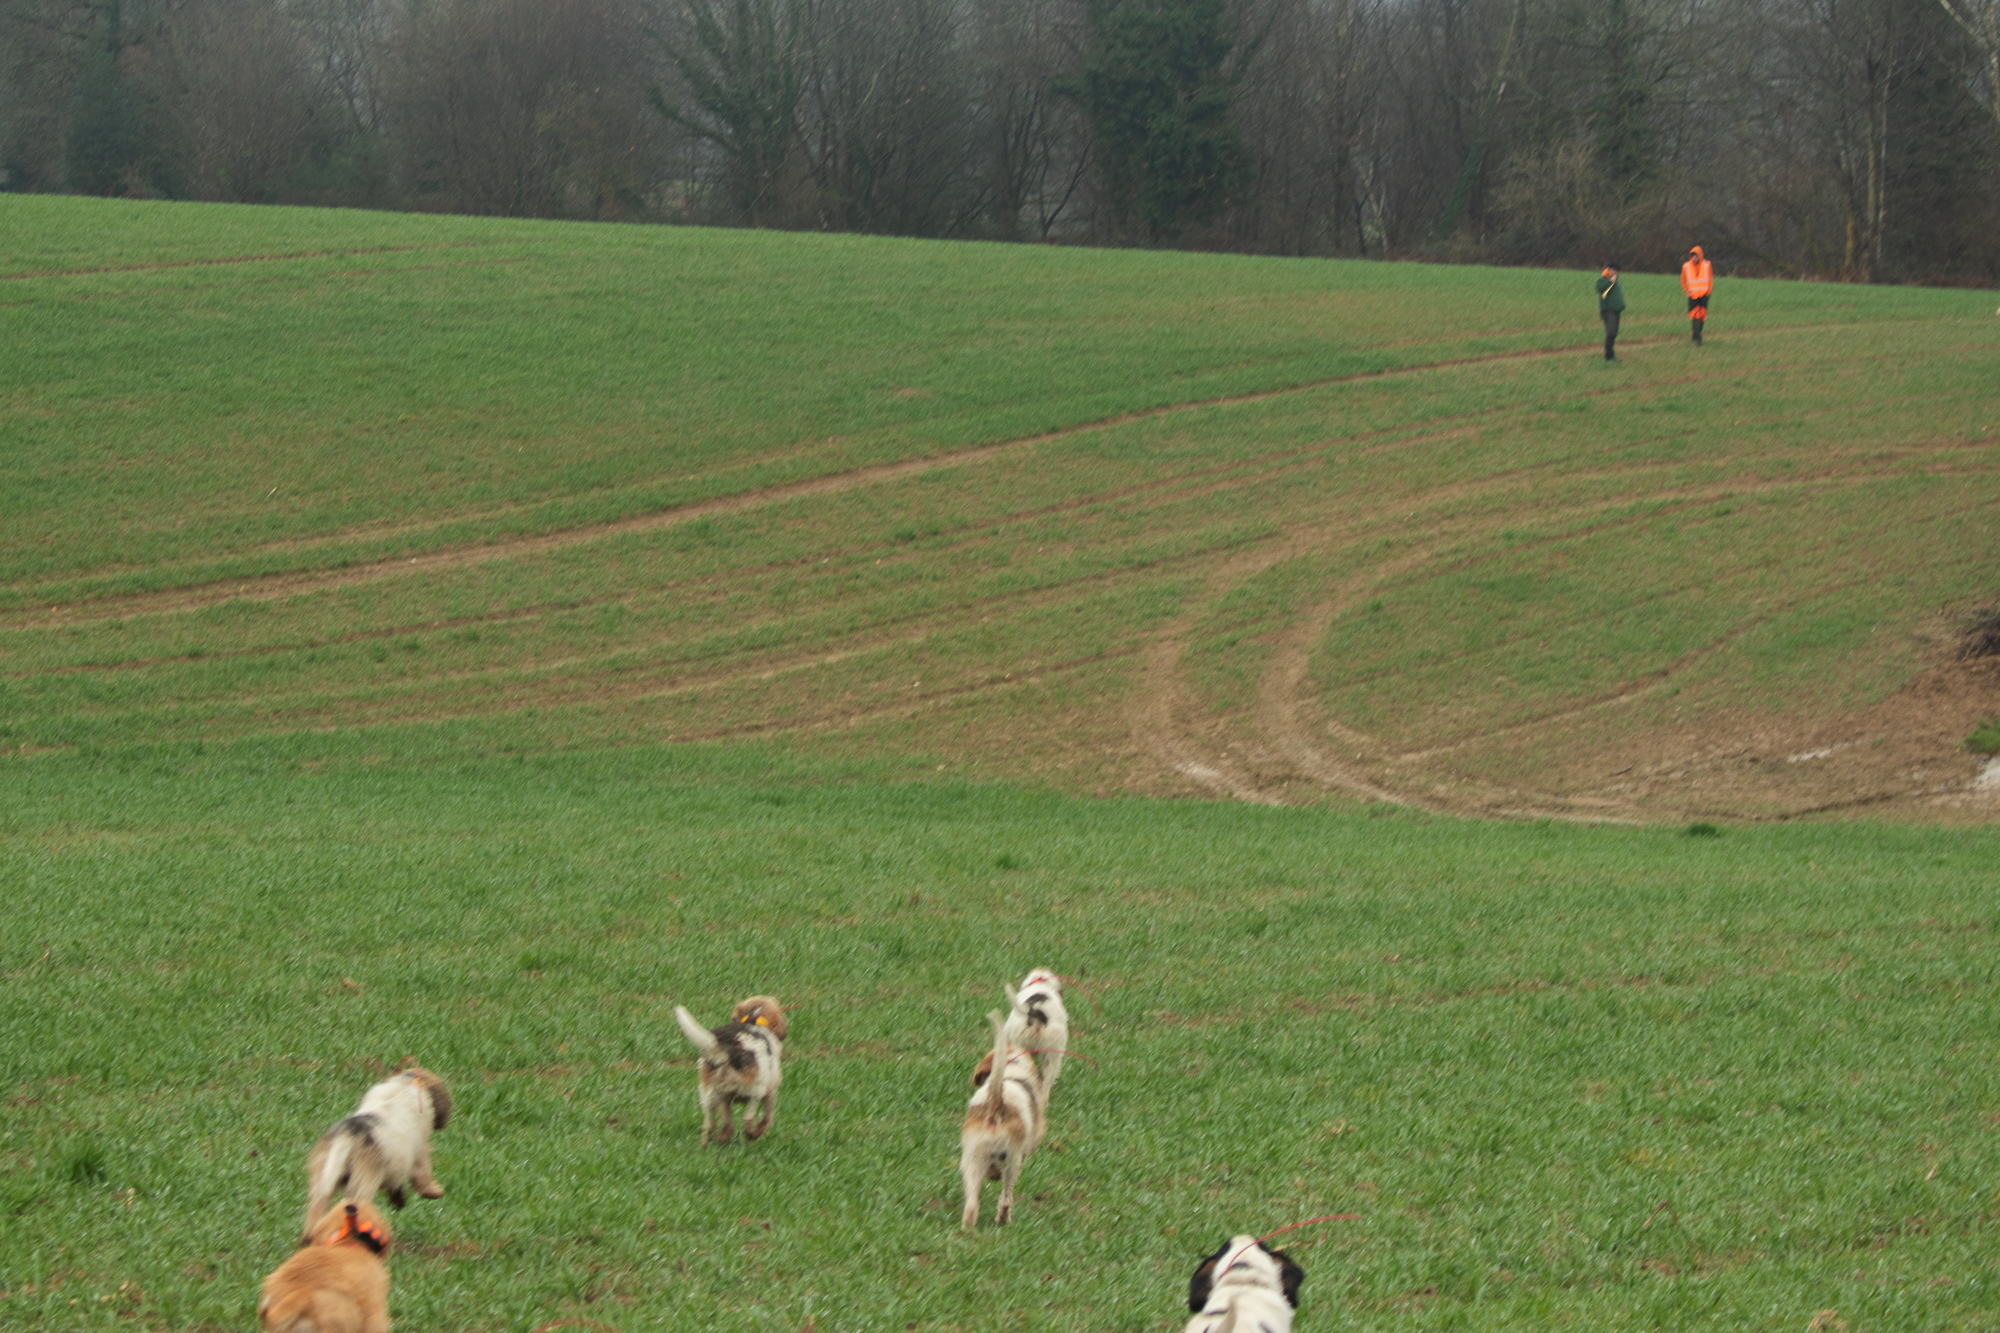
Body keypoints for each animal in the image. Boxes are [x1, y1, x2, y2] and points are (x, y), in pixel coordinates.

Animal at [302, 1066, 450, 1242]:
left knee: (317, 1208)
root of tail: (347, 1134)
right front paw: (436, 1191)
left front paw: (398, 1200)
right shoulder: (420, 1148)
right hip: (363, 1178)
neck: (406, 1083)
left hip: (321, 1172)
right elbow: (422, 1172)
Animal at [673, 995, 787, 1146]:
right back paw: (752, 1134)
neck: (754, 1021)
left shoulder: (725, 1099)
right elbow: (767, 1118)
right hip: (754, 1092)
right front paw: (759, 1130)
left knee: (709, 1125)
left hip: (711, 1094)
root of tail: (728, 1049)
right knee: (747, 1118)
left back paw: (710, 1144)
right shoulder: (770, 1092)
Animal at [959, 1009, 1046, 1230]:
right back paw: (1003, 1220)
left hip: (971, 1162)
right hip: (1011, 1163)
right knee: (1006, 1199)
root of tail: (996, 1107)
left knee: (971, 1206)